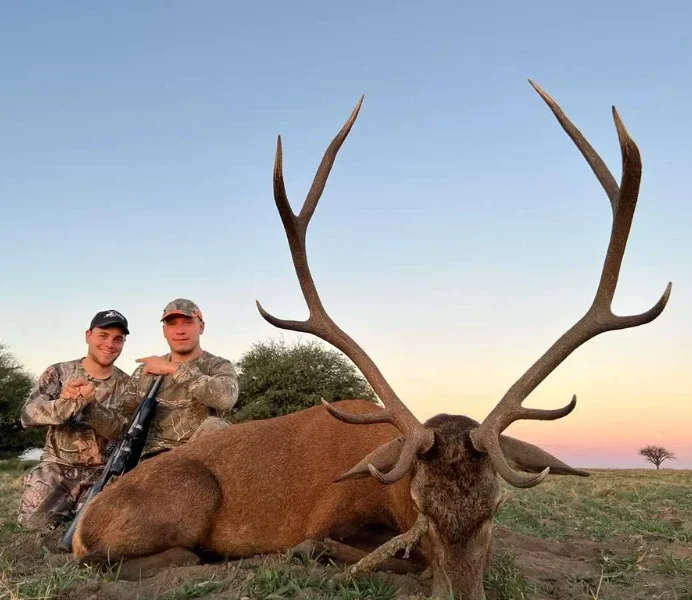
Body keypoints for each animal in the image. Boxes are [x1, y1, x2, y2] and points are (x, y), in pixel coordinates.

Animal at [69, 81, 671, 600]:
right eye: (423, 509)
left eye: (494, 510)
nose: (461, 592)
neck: (388, 486)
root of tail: (80, 523)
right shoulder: (333, 512)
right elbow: (353, 548)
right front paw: (320, 554)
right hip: (189, 493)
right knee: (111, 558)